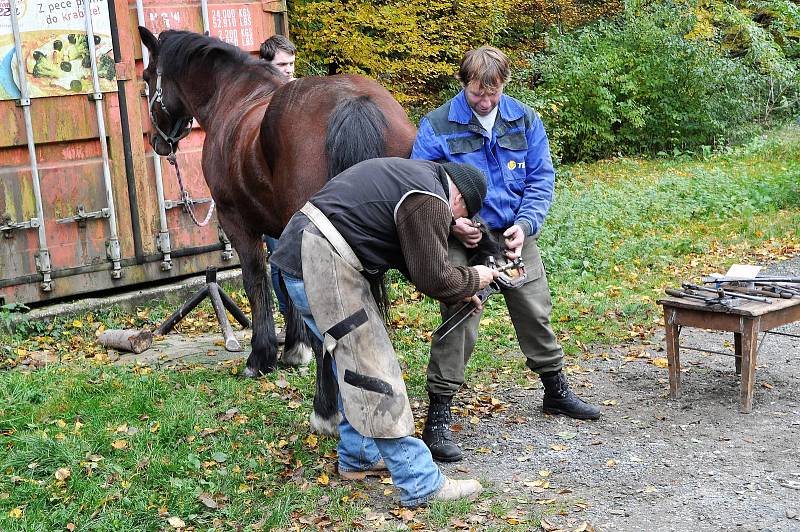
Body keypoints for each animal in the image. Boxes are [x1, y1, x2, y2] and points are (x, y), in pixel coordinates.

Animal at [140, 26, 418, 432]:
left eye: (147, 79)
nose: (158, 141)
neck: (234, 96)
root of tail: (353, 101)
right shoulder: (279, 228)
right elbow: (283, 284)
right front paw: (293, 348)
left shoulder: (237, 223)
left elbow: (257, 281)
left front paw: (261, 356)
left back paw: (326, 410)